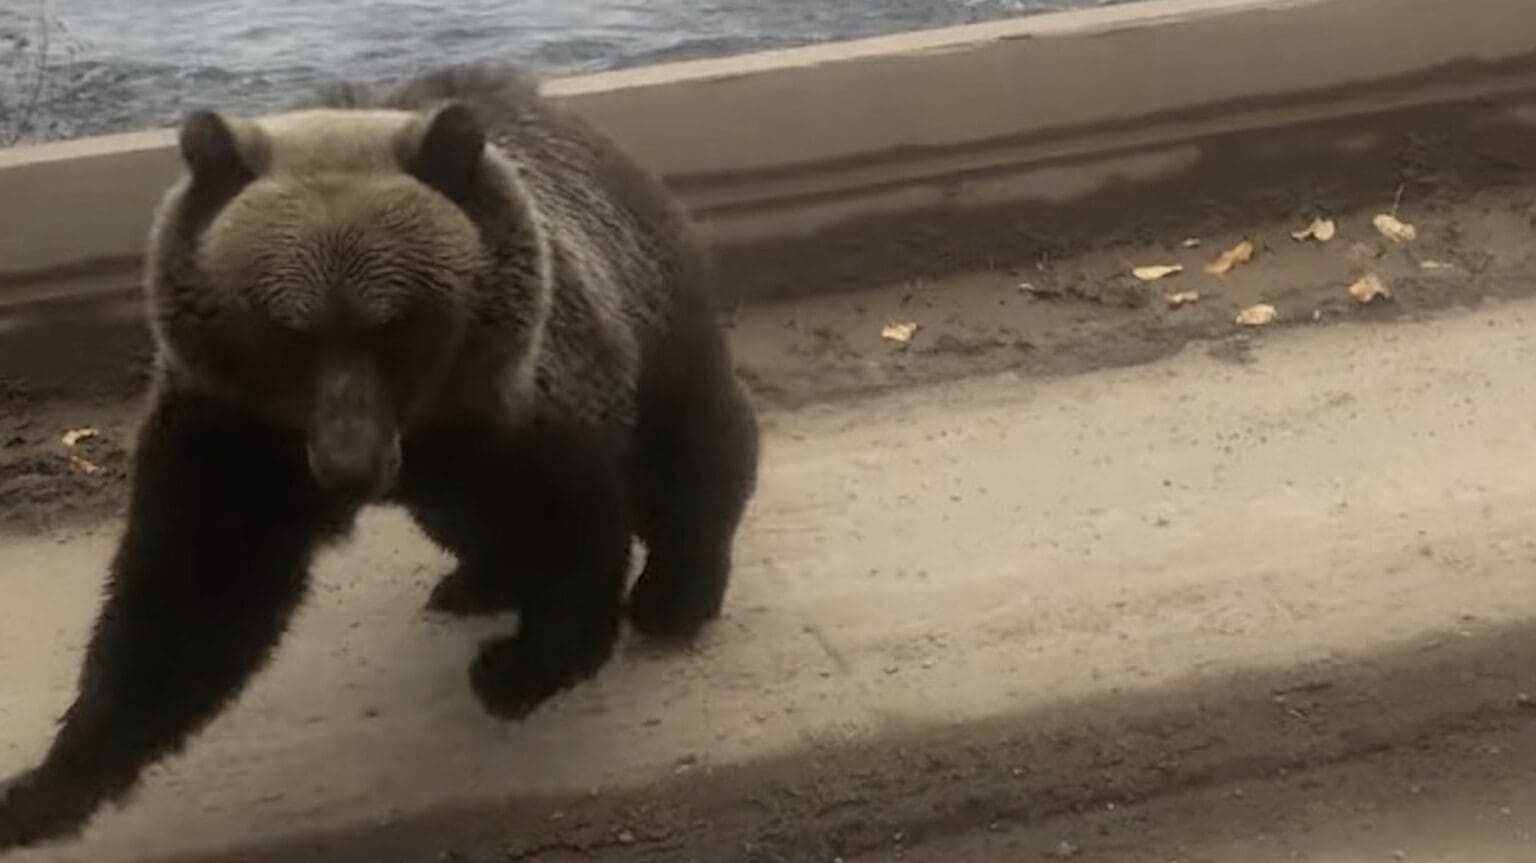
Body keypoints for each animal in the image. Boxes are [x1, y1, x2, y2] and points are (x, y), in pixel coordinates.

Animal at [0, 65, 758, 849]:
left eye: (395, 323)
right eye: (286, 328)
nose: (348, 466)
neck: (418, 426)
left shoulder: (520, 408)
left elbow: (572, 521)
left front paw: (517, 666)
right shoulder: (234, 432)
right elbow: (189, 591)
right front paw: (45, 786)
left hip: (657, 308)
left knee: (690, 451)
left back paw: (674, 593)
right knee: (466, 521)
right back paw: (475, 581)